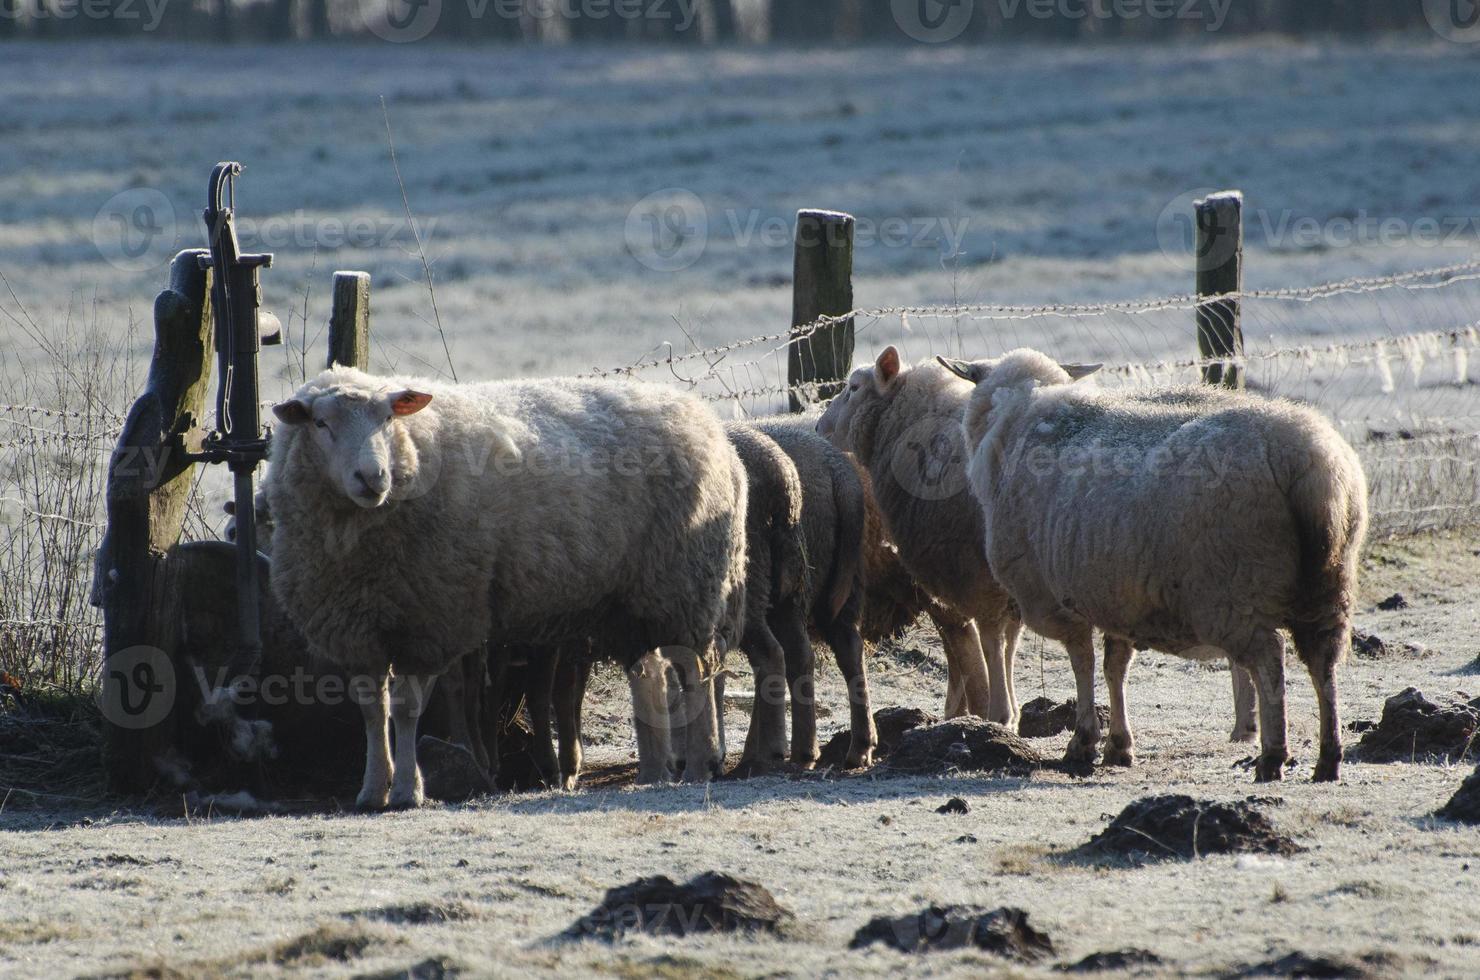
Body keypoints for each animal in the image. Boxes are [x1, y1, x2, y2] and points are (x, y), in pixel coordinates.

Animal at [261, 364, 745, 811]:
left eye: (387, 419)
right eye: (320, 424)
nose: (373, 478)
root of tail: (706, 421)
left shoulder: (431, 618)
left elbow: (405, 707)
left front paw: (406, 791)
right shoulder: (355, 628)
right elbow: (372, 710)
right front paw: (371, 789)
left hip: (685, 584)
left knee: (694, 673)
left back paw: (698, 764)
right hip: (630, 601)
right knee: (652, 675)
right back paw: (655, 771)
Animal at [941, 347, 1367, 781]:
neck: (1019, 419)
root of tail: (1309, 464)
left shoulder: (1056, 601)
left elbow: (1083, 663)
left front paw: (1083, 742)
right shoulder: (1118, 597)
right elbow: (1115, 667)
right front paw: (1118, 746)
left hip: (1233, 591)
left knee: (1269, 660)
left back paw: (1272, 756)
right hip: (1328, 587)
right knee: (1323, 663)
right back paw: (1328, 758)